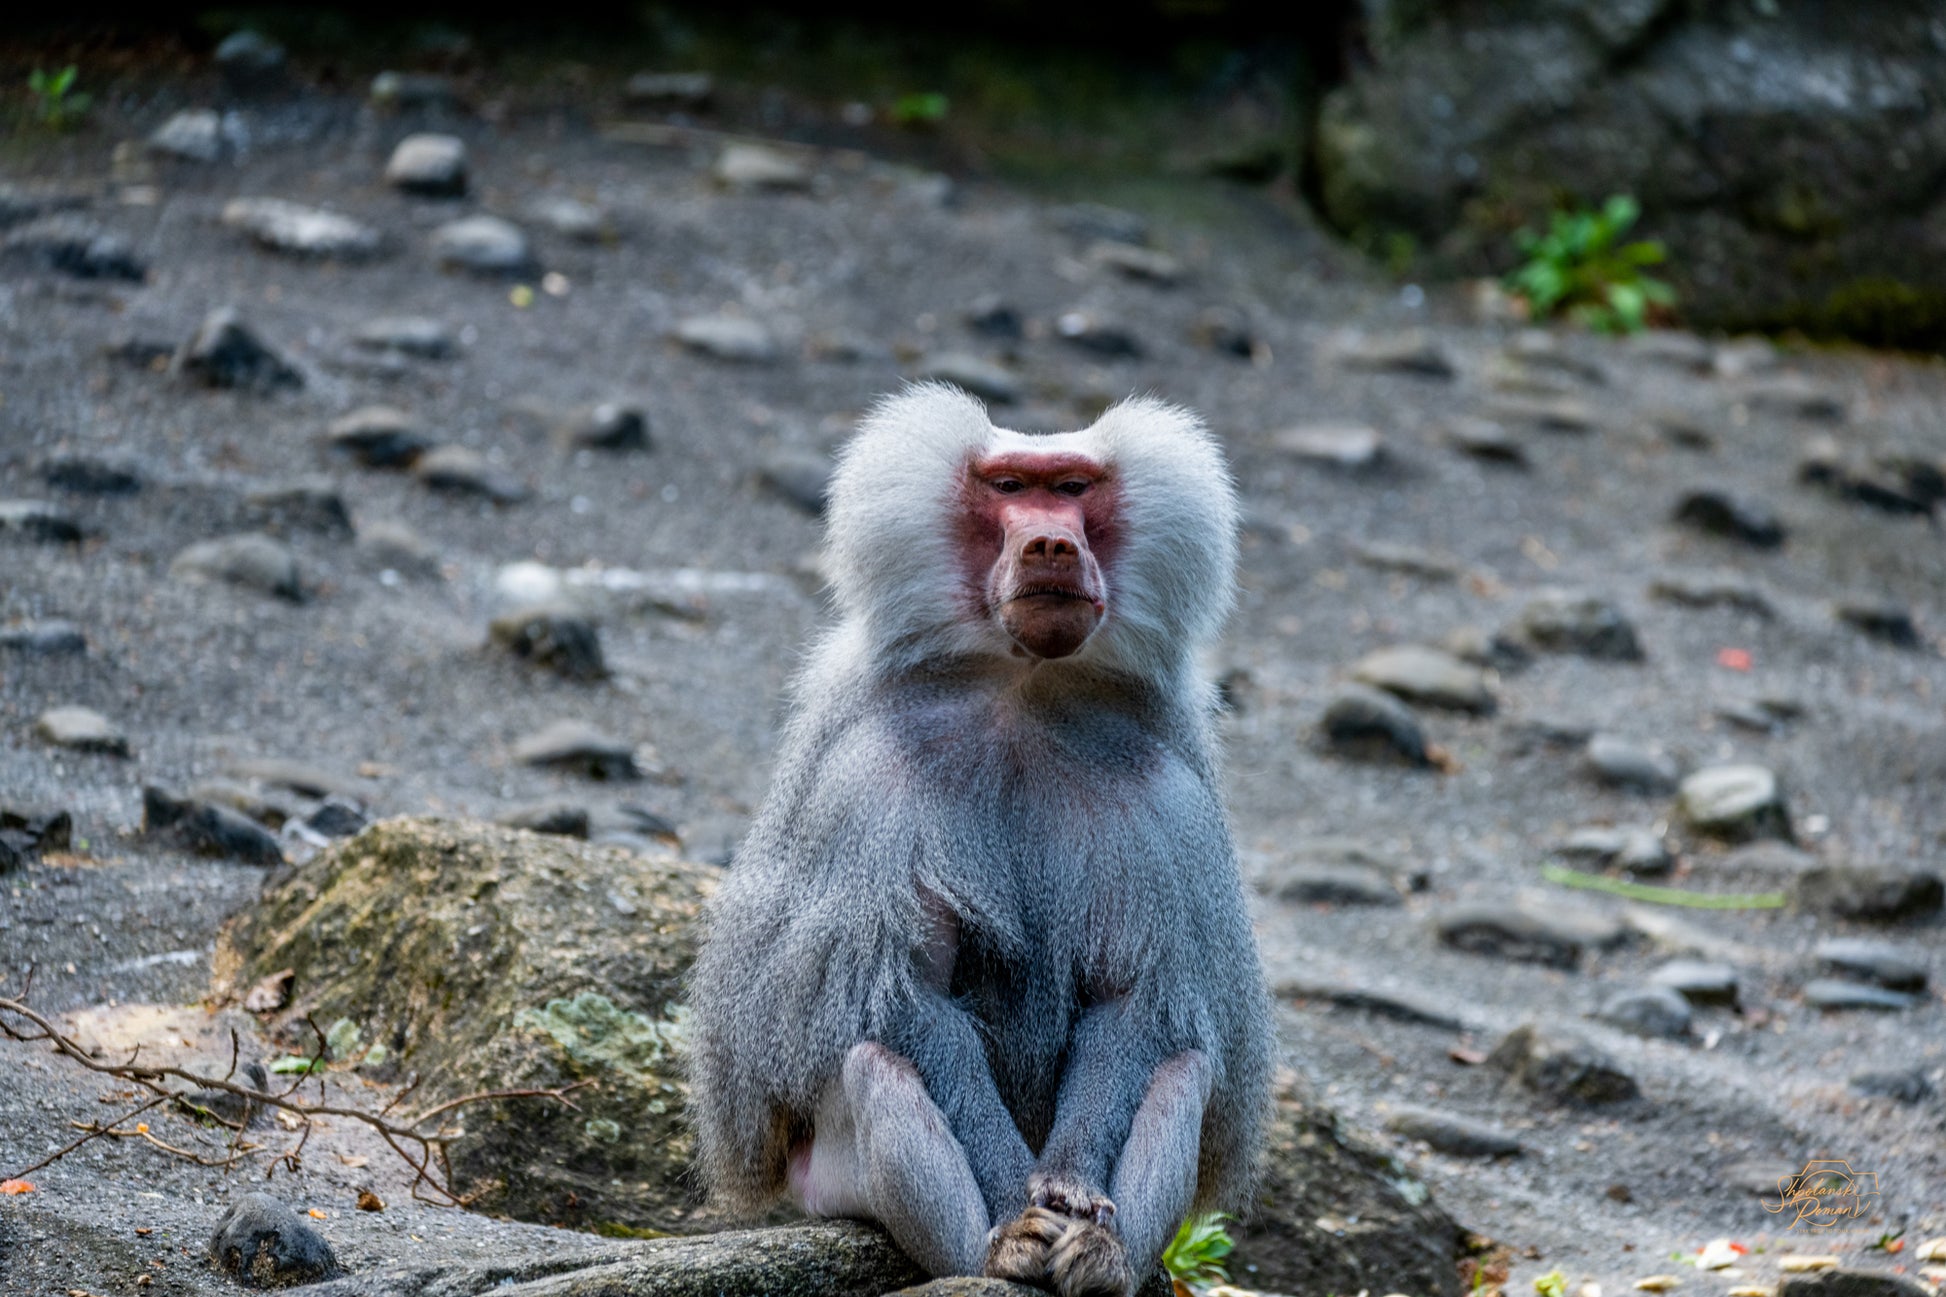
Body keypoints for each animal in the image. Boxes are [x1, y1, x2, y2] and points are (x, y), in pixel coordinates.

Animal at [685, 384, 1273, 1297]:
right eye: (1006, 486)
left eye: (1071, 486)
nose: (1050, 543)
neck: (1023, 682)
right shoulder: (871, 782)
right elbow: (903, 995)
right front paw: (1018, 1217)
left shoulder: (1161, 795)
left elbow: (1133, 999)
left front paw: (1074, 1197)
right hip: (830, 1179)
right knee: (877, 1065)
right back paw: (1000, 1249)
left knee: (1182, 1069)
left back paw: (1105, 1258)